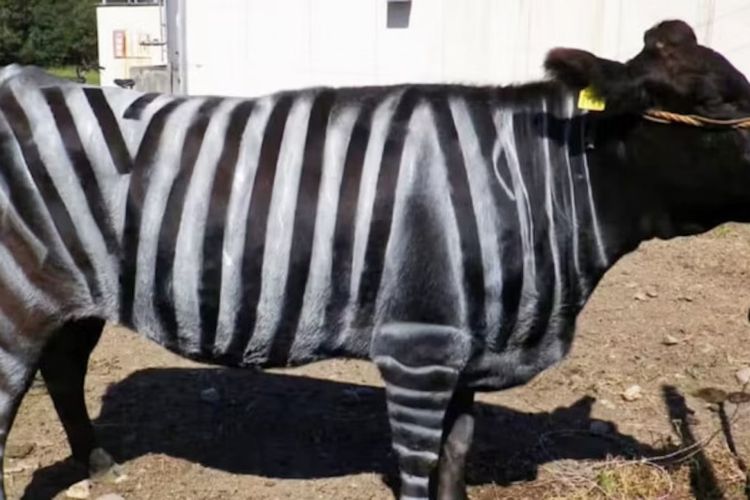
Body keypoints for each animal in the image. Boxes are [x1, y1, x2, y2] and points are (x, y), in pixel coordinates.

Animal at [0, 18, 749, 500]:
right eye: (714, 103)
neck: (532, 186)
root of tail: (19, 77)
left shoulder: (467, 349)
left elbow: (454, 460)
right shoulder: (417, 351)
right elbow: (420, 470)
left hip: (78, 294)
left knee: (64, 372)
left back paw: (101, 467)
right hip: (17, 308)